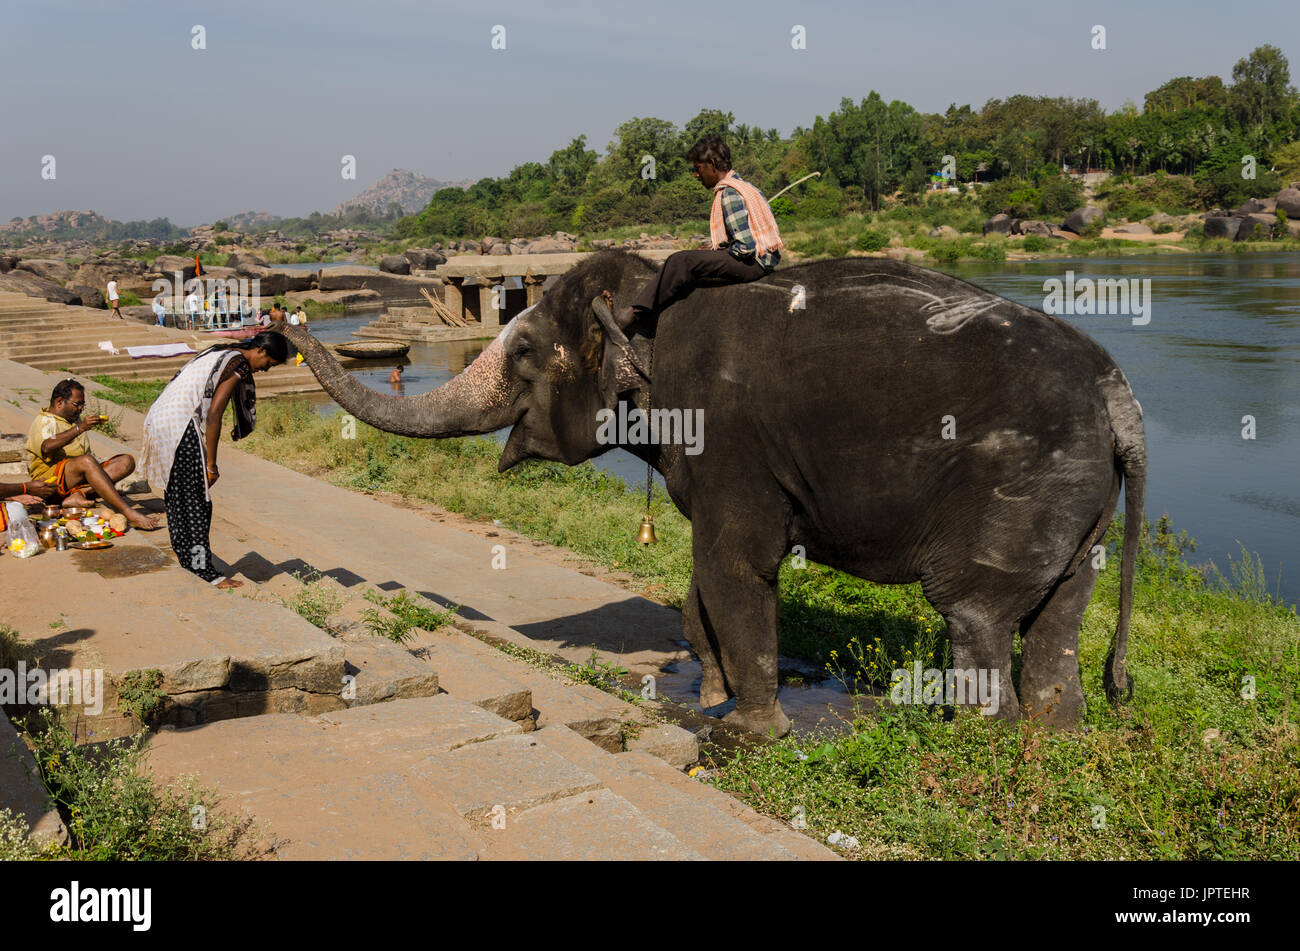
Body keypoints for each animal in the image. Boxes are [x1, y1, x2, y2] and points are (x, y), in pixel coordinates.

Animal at [276, 250, 1149, 737]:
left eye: (523, 350)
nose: (285, 318)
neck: (647, 298)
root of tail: (1118, 398)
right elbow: (705, 584)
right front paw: (710, 694)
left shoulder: (729, 440)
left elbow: (736, 566)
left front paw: (751, 732)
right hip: (1081, 505)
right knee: (1060, 616)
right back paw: (1058, 738)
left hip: (1022, 488)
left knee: (974, 615)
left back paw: (977, 744)